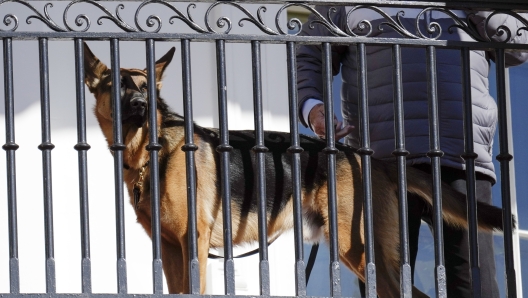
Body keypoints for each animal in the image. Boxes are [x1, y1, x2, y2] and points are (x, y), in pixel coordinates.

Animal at [83, 43, 508, 296]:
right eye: (116, 86)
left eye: (146, 89)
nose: (141, 106)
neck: (150, 152)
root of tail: (370, 158)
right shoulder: (171, 250)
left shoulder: (193, 245)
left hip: (357, 248)